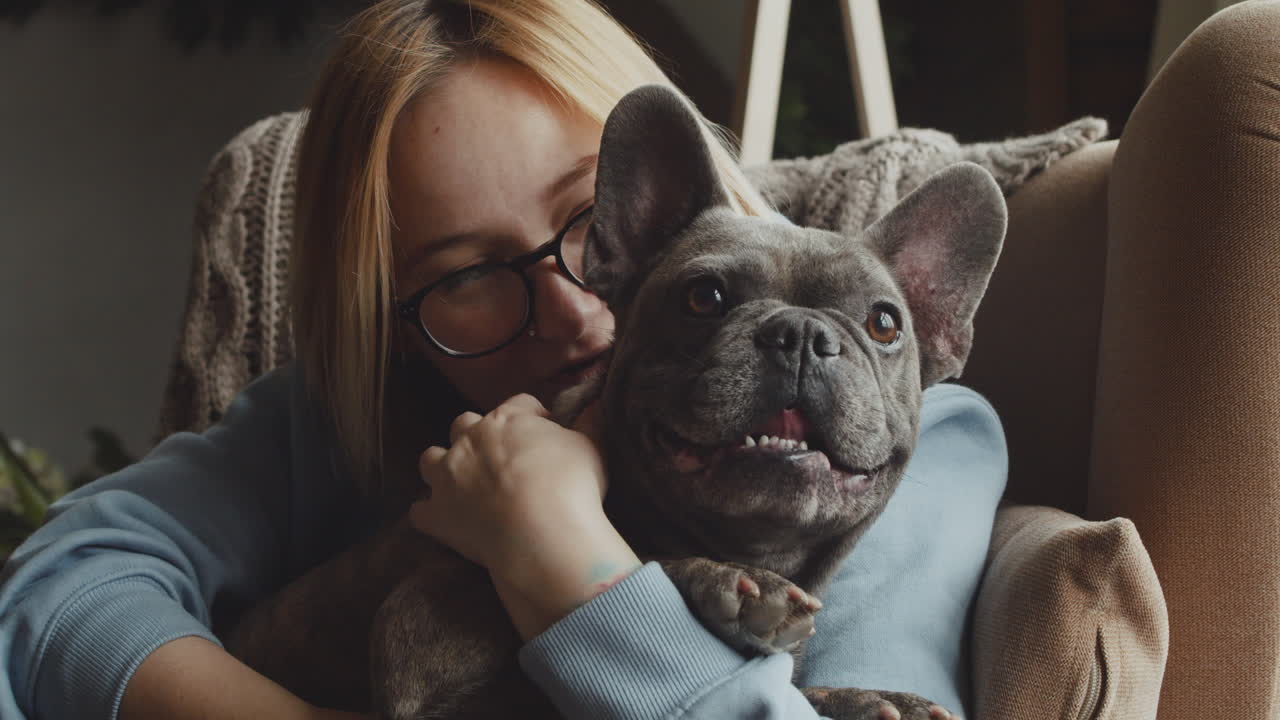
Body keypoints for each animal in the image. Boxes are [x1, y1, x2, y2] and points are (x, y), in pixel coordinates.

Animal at [230, 82, 1008, 717]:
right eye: (704, 297)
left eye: (884, 324)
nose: (801, 333)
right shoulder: (428, 658)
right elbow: (637, 579)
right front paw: (728, 587)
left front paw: (863, 698)